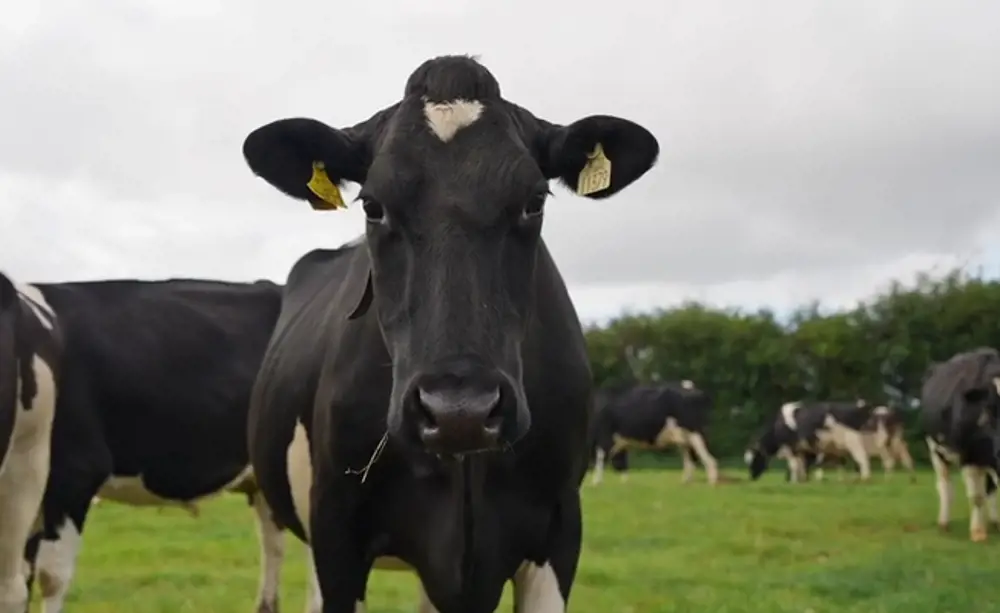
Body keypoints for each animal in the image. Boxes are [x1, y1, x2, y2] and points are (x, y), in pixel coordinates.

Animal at [589, 380, 719, 485]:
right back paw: (686, 482)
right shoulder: (622, 441)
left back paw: (712, 482)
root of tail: (690, 387)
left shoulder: (605, 437)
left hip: (695, 433)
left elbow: (601, 458)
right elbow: (622, 462)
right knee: (690, 460)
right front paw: (625, 484)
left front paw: (596, 482)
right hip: (683, 438)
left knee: (709, 459)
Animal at [744, 400, 880, 483]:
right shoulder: (805, 450)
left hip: (854, 442)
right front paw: (804, 480)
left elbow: (794, 465)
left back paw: (865, 479)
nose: (751, 477)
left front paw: (794, 481)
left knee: (862, 459)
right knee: (856, 462)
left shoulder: (791, 448)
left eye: (755, 459)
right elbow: (804, 466)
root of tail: (862, 407)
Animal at [920, 347, 1000, 542]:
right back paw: (944, 523)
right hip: (935, 450)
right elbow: (976, 496)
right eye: (991, 408)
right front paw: (978, 532)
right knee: (945, 486)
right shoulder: (968, 456)